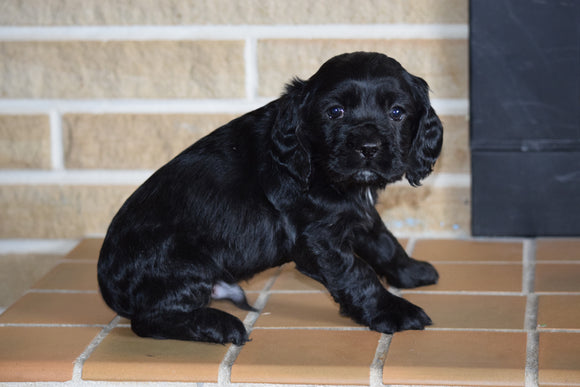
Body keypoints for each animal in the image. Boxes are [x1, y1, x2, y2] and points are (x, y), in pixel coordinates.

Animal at [98, 51, 444, 346]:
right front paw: (395, 311)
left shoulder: (358, 214)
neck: (316, 164)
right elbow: (358, 273)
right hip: (183, 263)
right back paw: (220, 326)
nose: (368, 148)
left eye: (397, 112)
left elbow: (384, 242)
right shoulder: (317, 240)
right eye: (335, 112)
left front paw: (411, 271)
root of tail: (107, 287)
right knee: (148, 320)